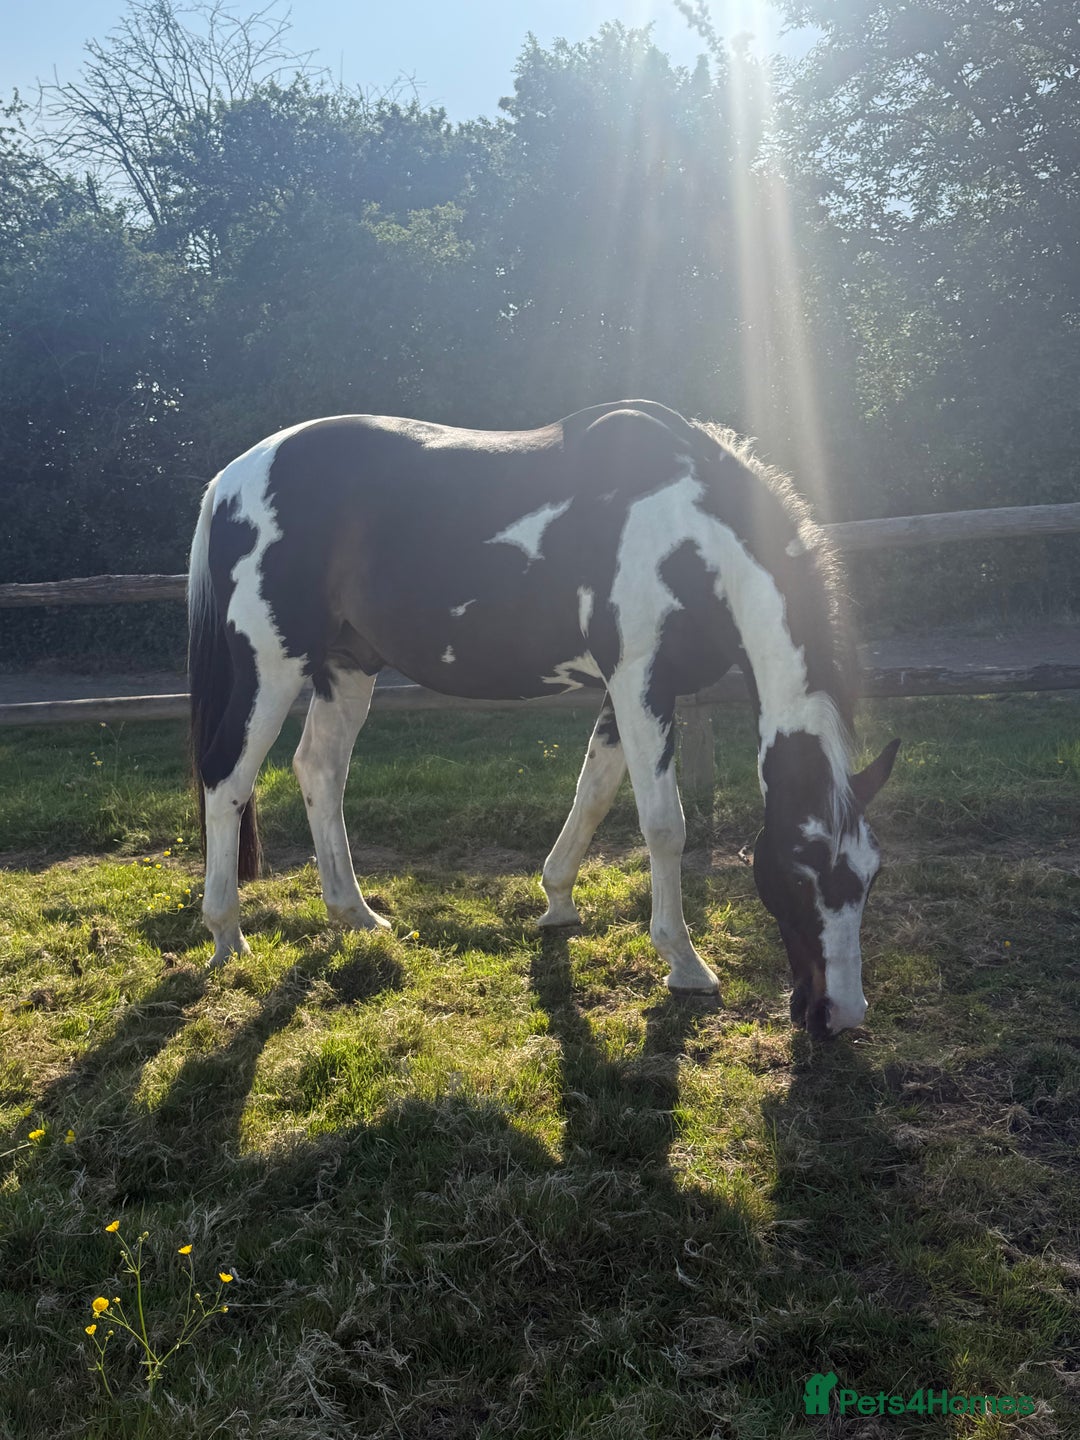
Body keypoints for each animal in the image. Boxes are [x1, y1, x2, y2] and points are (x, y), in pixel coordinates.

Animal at [188, 399, 898, 1039]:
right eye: (802, 868)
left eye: (870, 874)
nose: (840, 1015)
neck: (687, 528)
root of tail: (228, 480)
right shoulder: (640, 681)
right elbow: (664, 825)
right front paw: (686, 965)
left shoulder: (627, 692)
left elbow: (593, 794)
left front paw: (557, 902)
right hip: (272, 664)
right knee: (227, 780)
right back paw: (226, 936)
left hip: (346, 666)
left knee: (320, 771)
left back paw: (355, 914)